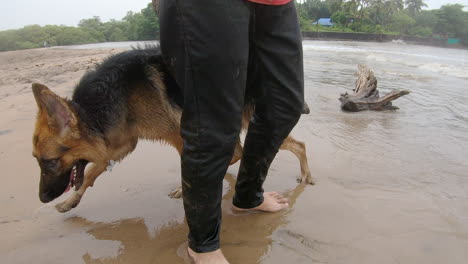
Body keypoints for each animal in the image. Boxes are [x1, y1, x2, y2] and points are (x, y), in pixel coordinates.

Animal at [31, 47, 312, 212]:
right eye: (37, 160)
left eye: (50, 161)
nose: (42, 199)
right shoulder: (118, 146)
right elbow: (90, 174)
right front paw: (71, 201)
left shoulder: (177, 136)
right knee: (244, 151)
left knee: (297, 145)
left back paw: (305, 176)